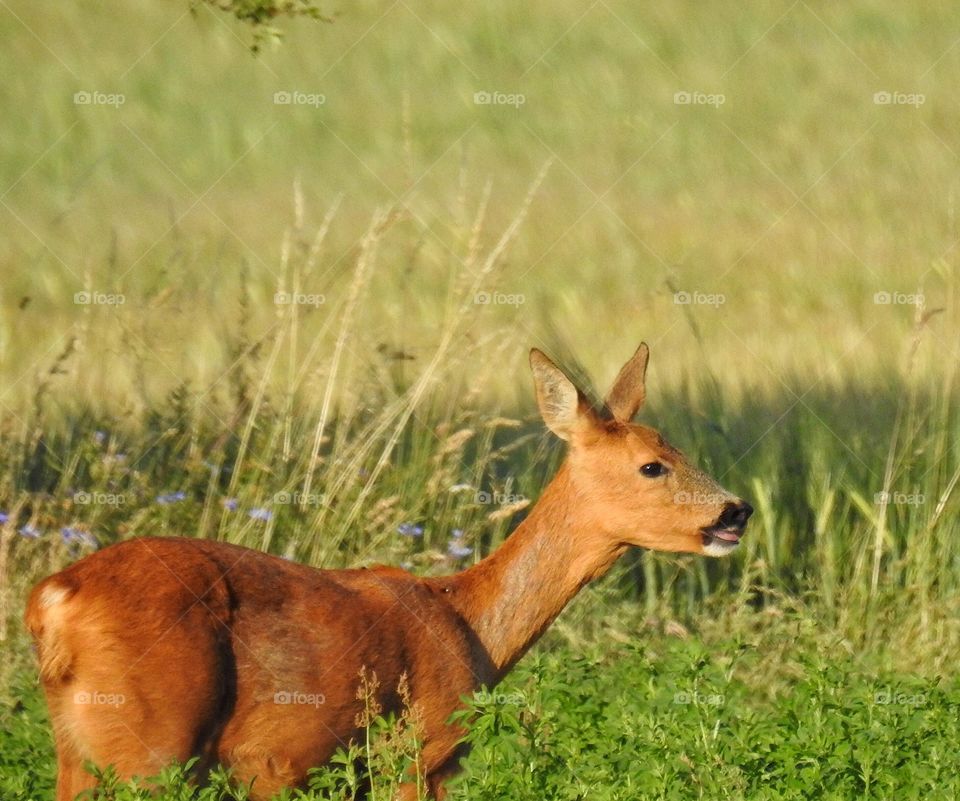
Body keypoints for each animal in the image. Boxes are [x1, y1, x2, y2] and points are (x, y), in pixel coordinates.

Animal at [25, 342, 752, 801]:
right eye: (652, 465)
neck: (473, 625)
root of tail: (54, 599)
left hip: (77, 745)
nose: (737, 510)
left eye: (674, 450)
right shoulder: (420, 750)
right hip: (150, 740)